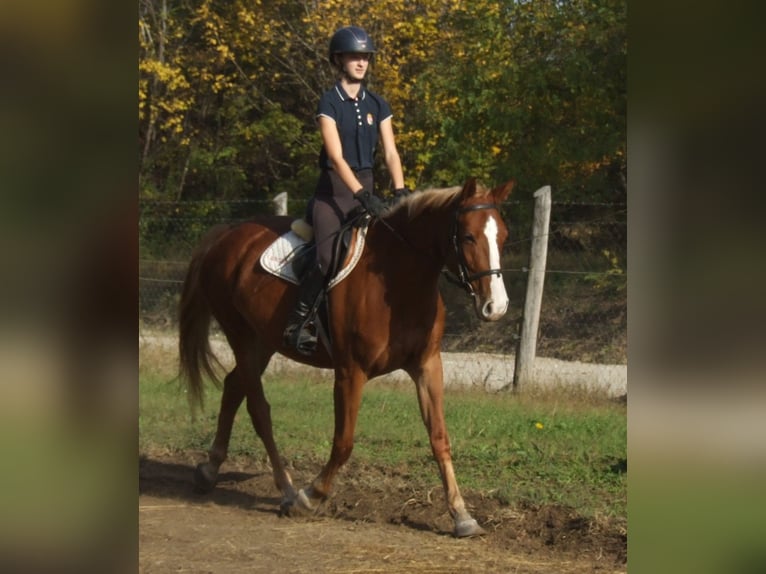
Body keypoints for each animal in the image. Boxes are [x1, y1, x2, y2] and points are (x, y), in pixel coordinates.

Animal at [178, 177, 516, 540]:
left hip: (262, 342)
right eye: (468, 236)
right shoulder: (350, 372)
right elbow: (344, 442)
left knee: (232, 387)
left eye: (503, 237)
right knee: (258, 409)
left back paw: (209, 470)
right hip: (240, 335)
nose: (496, 307)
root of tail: (227, 234)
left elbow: (440, 438)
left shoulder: (427, 366)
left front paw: (462, 515)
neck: (399, 277)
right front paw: (309, 498)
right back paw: (287, 489)